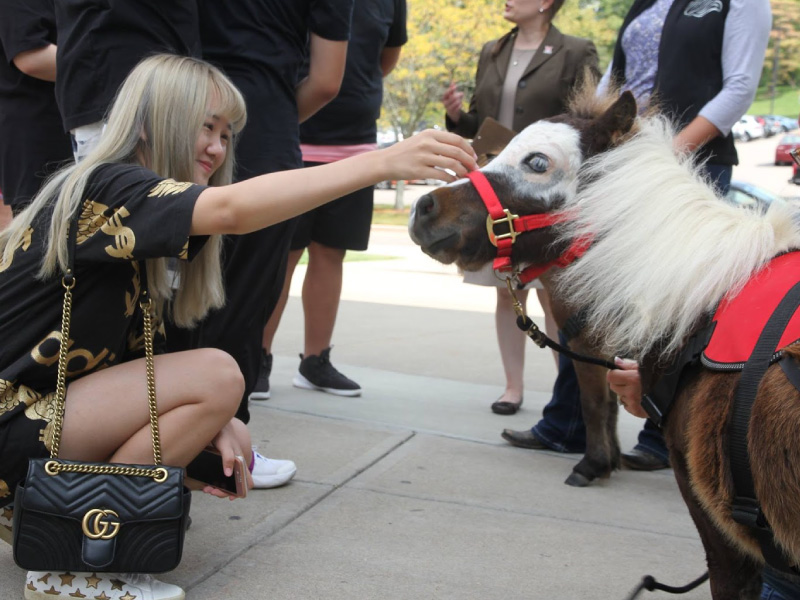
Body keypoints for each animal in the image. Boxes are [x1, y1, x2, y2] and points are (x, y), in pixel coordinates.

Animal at [410, 91, 800, 596]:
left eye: (538, 162)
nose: (424, 207)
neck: (703, 302)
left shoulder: (723, 532)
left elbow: (595, 401)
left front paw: (594, 464)